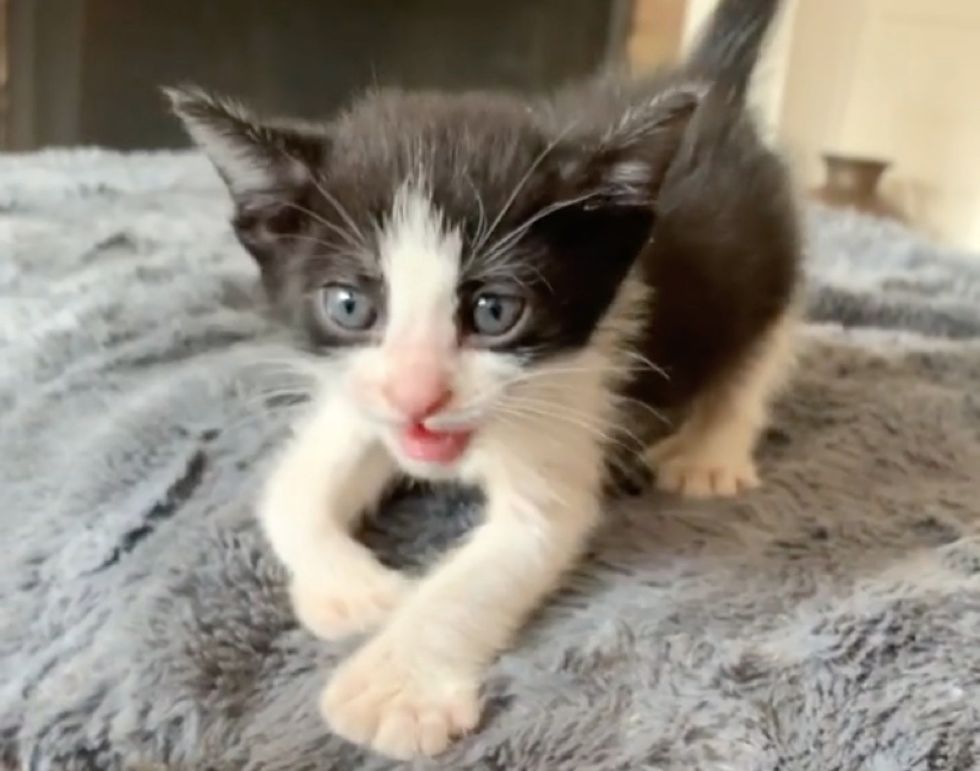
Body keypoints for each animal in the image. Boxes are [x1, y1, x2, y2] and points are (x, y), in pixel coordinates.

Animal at [168, 0, 796, 760]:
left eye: (495, 311)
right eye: (349, 305)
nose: (419, 394)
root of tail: (711, 86)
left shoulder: (572, 400)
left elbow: (492, 568)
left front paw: (393, 687)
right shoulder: (361, 401)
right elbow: (293, 487)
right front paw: (353, 593)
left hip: (775, 265)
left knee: (763, 348)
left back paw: (711, 449)